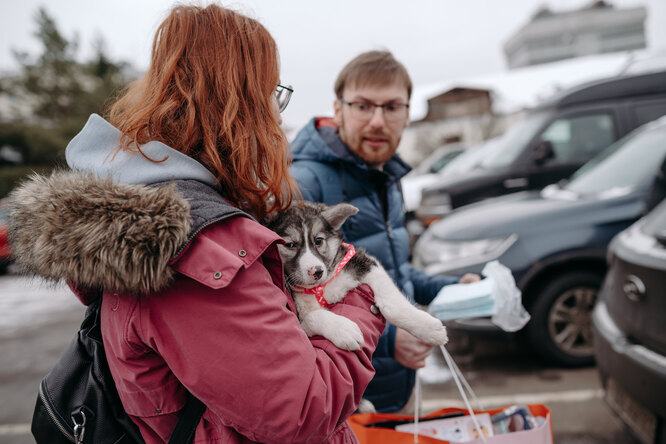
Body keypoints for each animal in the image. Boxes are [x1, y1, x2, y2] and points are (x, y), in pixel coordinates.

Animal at [264, 200, 446, 350]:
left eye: (318, 240)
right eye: (290, 245)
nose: (317, 271)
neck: (322, 287)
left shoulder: (363, 264)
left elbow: (391, 305)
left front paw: (428, 329)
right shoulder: (300, 320)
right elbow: (313, 316)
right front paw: (343, 329)